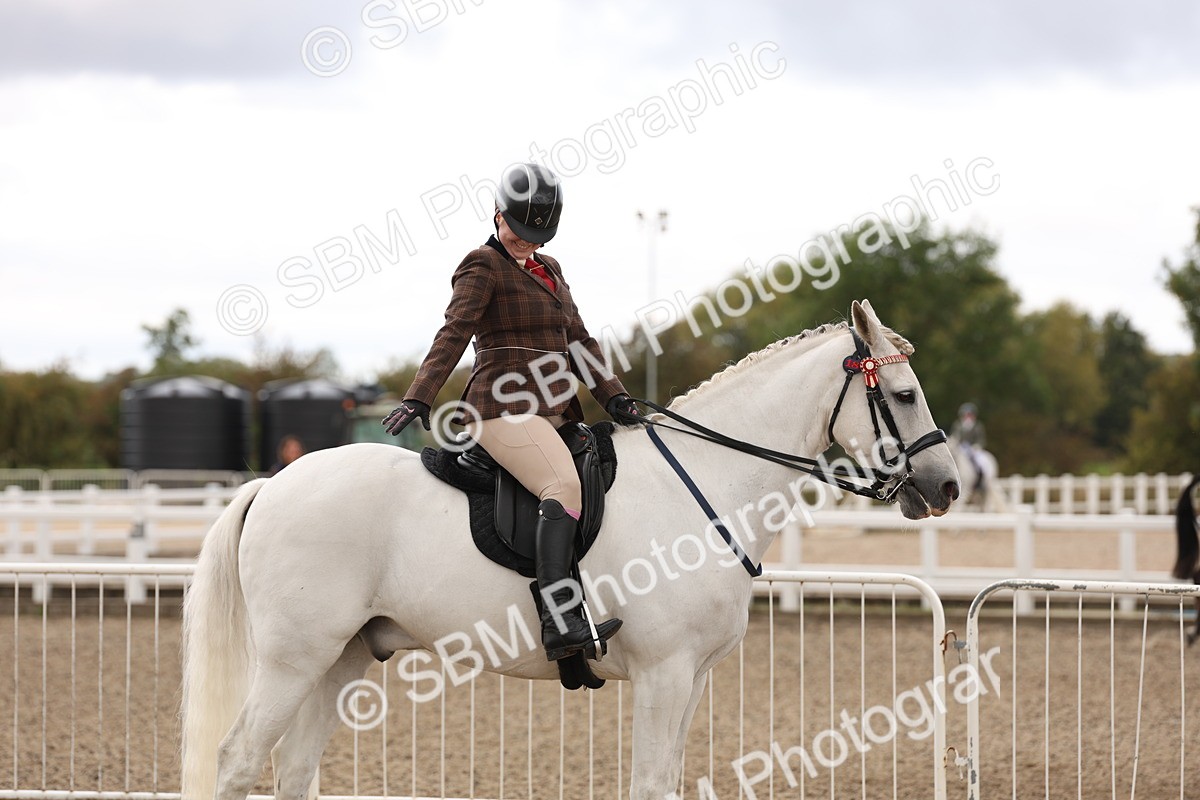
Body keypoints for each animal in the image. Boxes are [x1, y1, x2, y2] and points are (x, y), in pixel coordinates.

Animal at [179, 300, 960, 800]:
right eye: (903, 394)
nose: (947, 485)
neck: (705, 483)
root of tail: (273, 484)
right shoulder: (664, 675)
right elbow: (649, 786)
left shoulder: (693, 679)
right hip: (294, 659)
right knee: (238, 761)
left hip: (339, 659)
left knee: (292, 770)